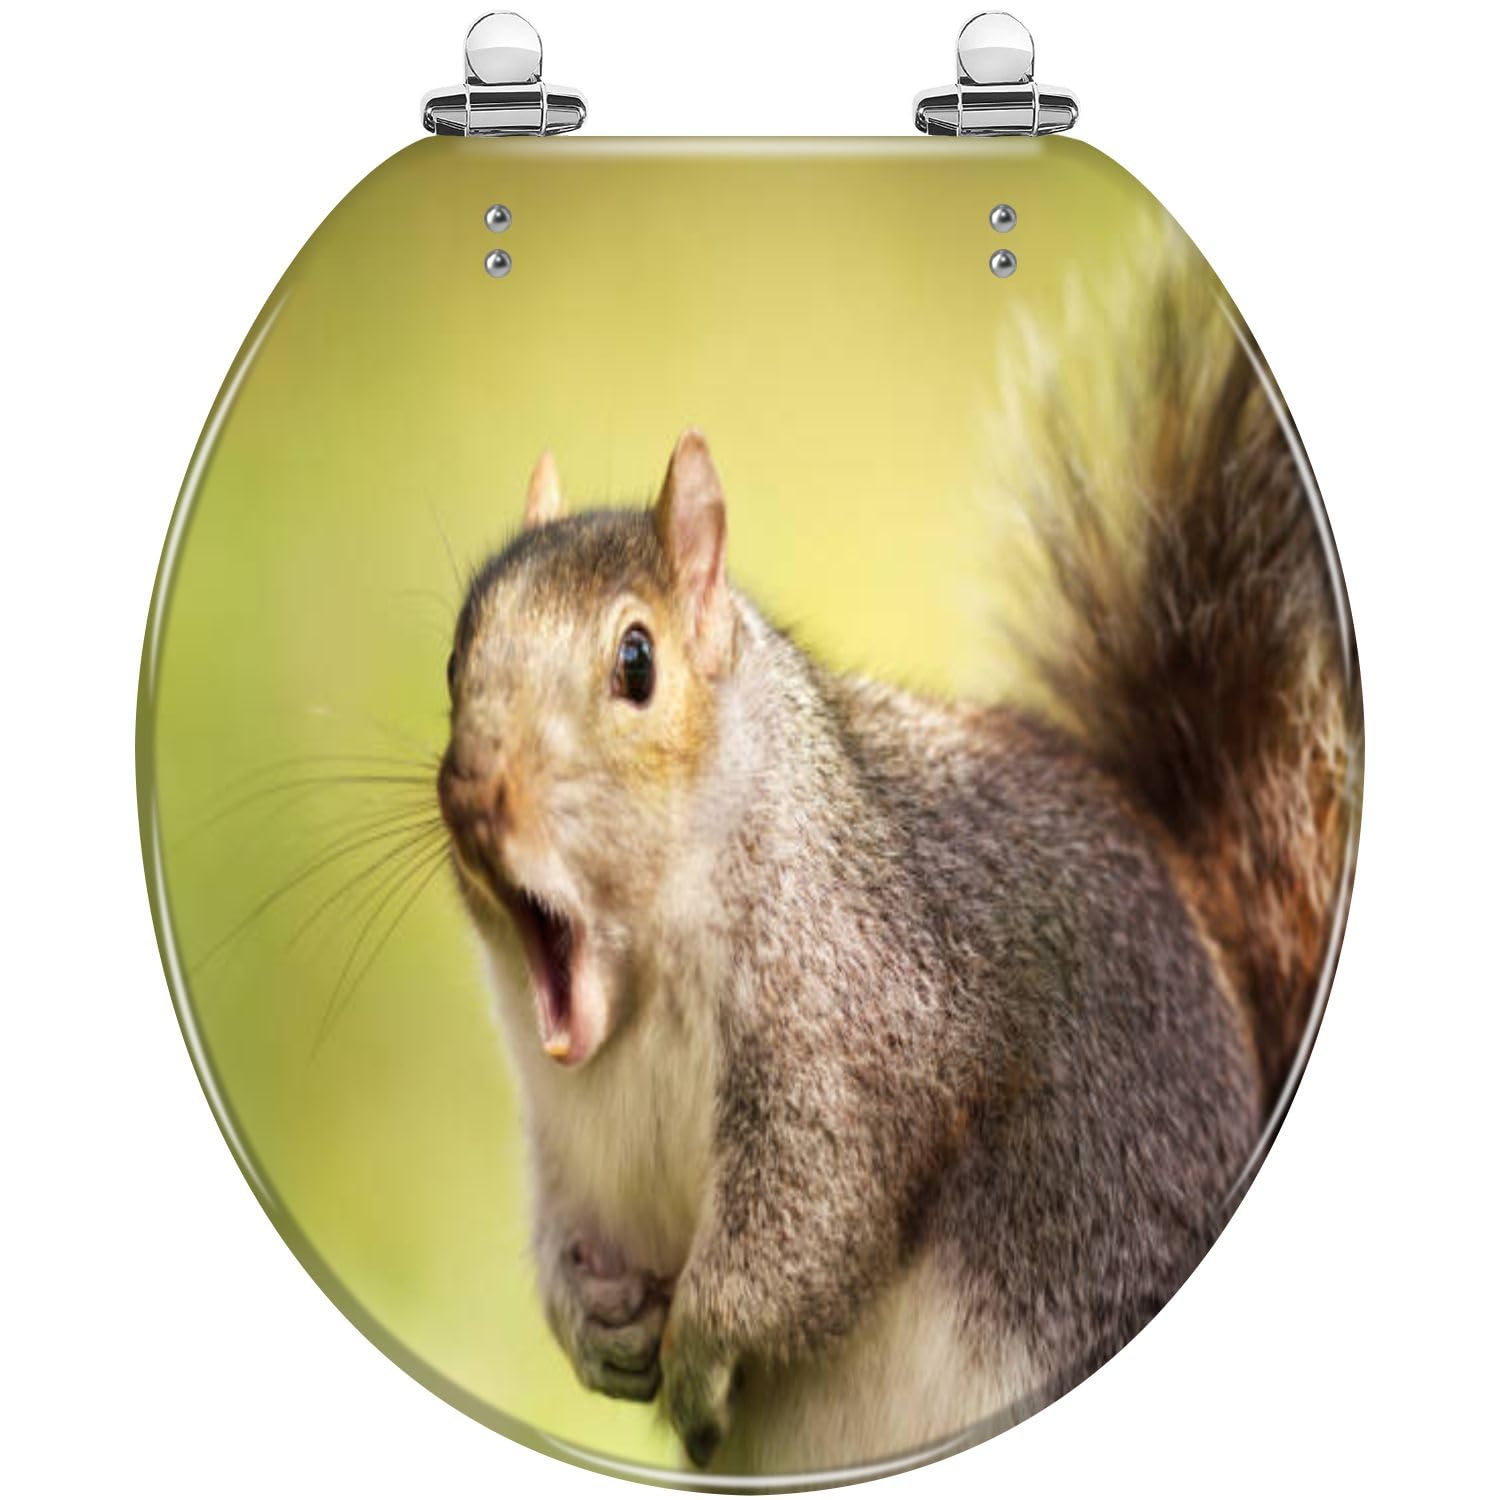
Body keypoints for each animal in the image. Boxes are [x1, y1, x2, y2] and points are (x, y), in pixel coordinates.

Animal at [436, 267, 1361, 1475]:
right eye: (454, 658)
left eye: (636, 663)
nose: (474, 791)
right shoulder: (562, 1135)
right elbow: (562, 1236)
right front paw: (593, 1326)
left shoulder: (860, 1017)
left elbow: (808, 1231)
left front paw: (695, 1356)